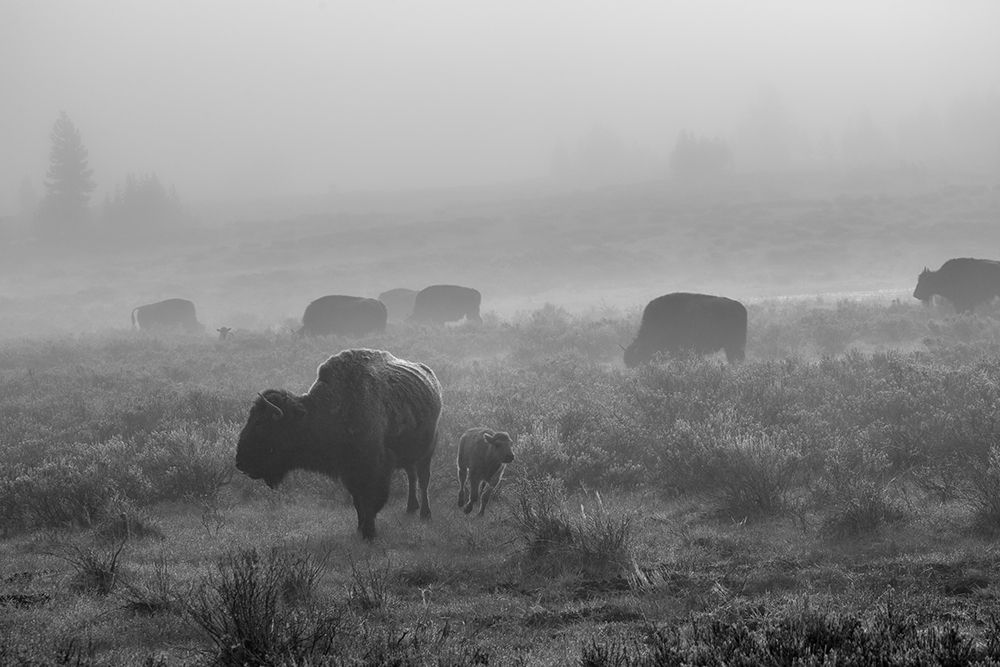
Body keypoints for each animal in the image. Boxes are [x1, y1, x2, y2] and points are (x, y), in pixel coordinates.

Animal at [235, 348, 442, 541]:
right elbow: (358, 502)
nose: (240, 463)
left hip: (427, 452)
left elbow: (372, 501)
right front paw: (360, 528)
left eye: (261, 425)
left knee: (423, 479)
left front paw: (369, 533)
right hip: (410, 455)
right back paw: (411, 508)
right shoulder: (349, 472)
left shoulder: (376, 470)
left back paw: (425, 514)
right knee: (412, 476)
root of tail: (433, 381)